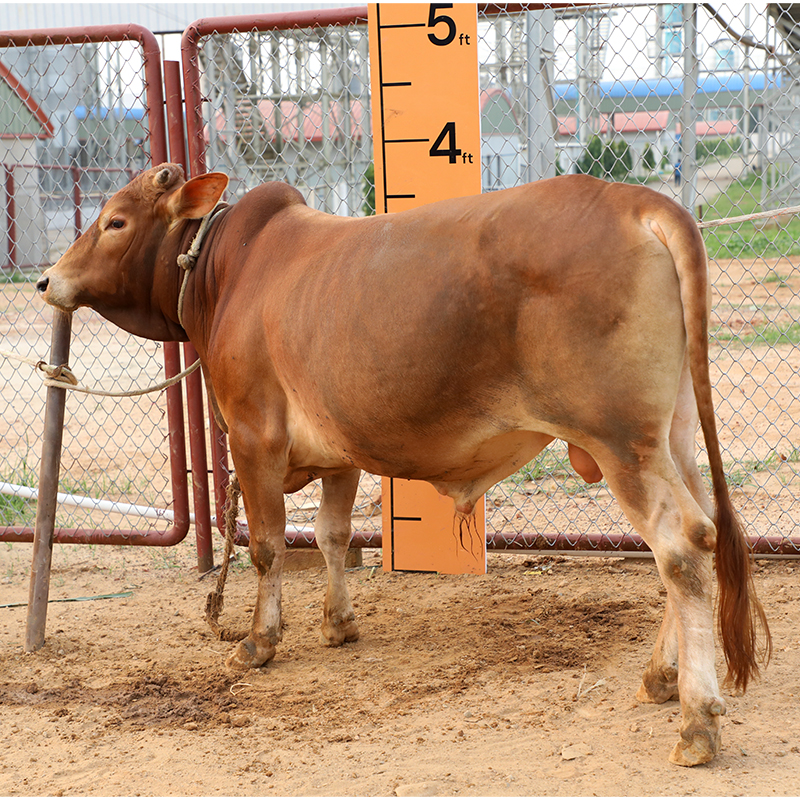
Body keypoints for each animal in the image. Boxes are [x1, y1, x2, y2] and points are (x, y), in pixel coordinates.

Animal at [36, 163, 770, 766]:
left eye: (115, 221)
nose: (46, 280)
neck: (226, 271)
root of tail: (638, 202)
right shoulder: (338, 452)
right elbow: (332, 535)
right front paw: (338, 623)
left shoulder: (253, 438)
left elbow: (269, 547)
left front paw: (258, 641)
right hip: (671, 436)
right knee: (700, 535)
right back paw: (659, 676)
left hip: (621, 443)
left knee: (680, 547)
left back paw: (697, 722)